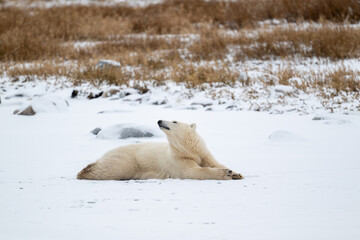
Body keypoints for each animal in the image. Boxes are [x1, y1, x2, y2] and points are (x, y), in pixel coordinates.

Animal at [77, 120, 243, 180]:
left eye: (174, 121)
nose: (160, 121)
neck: (190, 151)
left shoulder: (205, 154)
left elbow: (215, 163)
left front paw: (236, 173)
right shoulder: (178, 161)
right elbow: (193, 171)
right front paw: (225, 173)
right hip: (127, 160)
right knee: (112, 169)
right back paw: (85, 171)